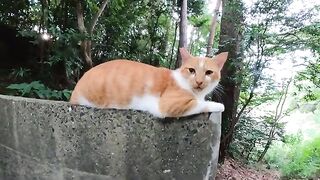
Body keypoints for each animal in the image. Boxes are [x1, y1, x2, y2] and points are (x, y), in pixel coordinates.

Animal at [71, 47, 229, 118]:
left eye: (208, 72)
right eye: (192, 70)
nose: (199, 81)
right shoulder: (169, 105)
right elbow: (202, 104)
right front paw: (219, 105)